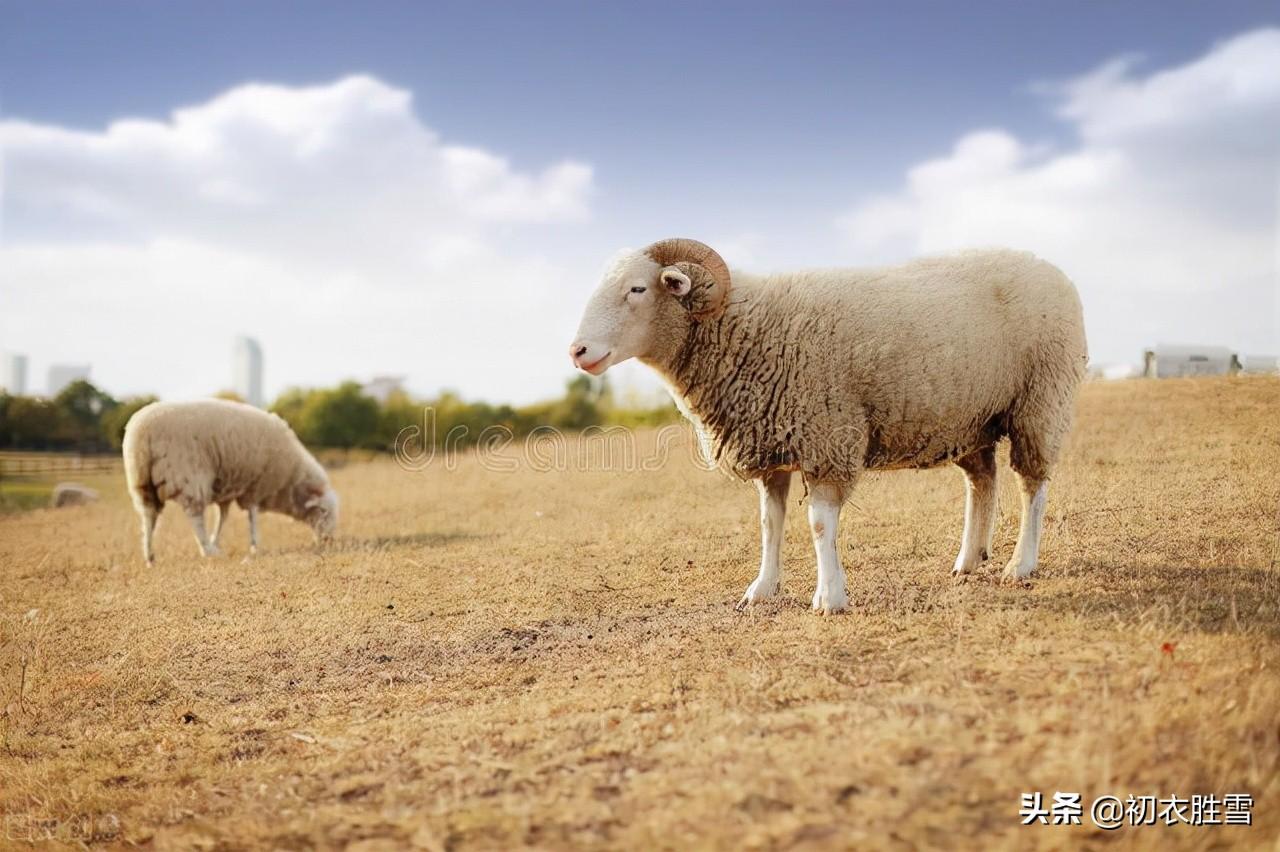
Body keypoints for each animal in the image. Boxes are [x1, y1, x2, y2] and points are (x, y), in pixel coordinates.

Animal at [120, 399, 337, 562]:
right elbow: (252, 516)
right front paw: (254, 545)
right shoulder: (255, 486)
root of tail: (142, 434)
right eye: (324, 512)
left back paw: (150, 556)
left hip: (142, 484)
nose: (329, 542)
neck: (290, 481)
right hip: (187, 474)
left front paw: (218, 539)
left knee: (149, 518)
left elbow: (222, 517)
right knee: (195, 516)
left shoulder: (228, 489)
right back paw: (207, 549)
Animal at [576, 236, 1085, 611]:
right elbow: (770, 523)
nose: (577, 351)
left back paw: (1021, 565)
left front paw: (829, 598)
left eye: (638, 289)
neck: (747, 328)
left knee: (1033, 485)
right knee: (982, 482)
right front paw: (762, 589)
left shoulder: (827, 437)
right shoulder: (772, 446)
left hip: (1040, 399)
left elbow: (820, 524)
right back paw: (968, 561)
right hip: (970, 417)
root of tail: (1049, 266)